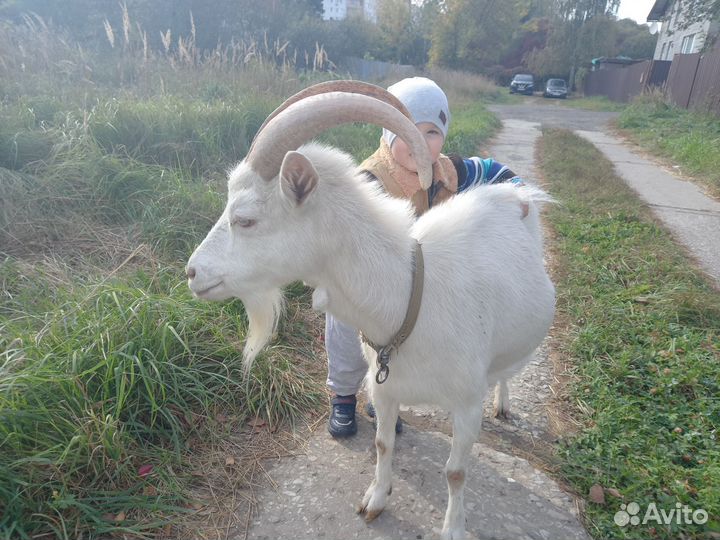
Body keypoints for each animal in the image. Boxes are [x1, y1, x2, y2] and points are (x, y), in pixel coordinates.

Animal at [186, 82, 555, 540]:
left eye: (246, 219)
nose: (192, 273)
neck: (410, 295)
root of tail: (516, 193)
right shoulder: (384, 389)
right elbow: (383, 443)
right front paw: (375, 500)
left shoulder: (467, 403)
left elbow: (455, 472)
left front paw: (453, 527)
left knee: (507, 371)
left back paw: (503, 403)